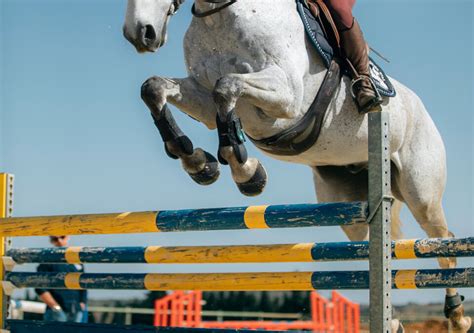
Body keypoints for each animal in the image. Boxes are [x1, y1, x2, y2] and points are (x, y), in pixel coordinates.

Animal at [124, 0, 472, 330]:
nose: (140, 34)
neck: (220, 17)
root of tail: (421, 108)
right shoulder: (204, 99)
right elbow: (154, 88)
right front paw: (199, 162)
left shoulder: (285, 96)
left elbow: (227, 85)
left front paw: (246, 172)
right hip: (350, 205)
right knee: (376, 245)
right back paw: (395, 321)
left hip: (421, 194)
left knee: (440, 242)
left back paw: (457, 318)